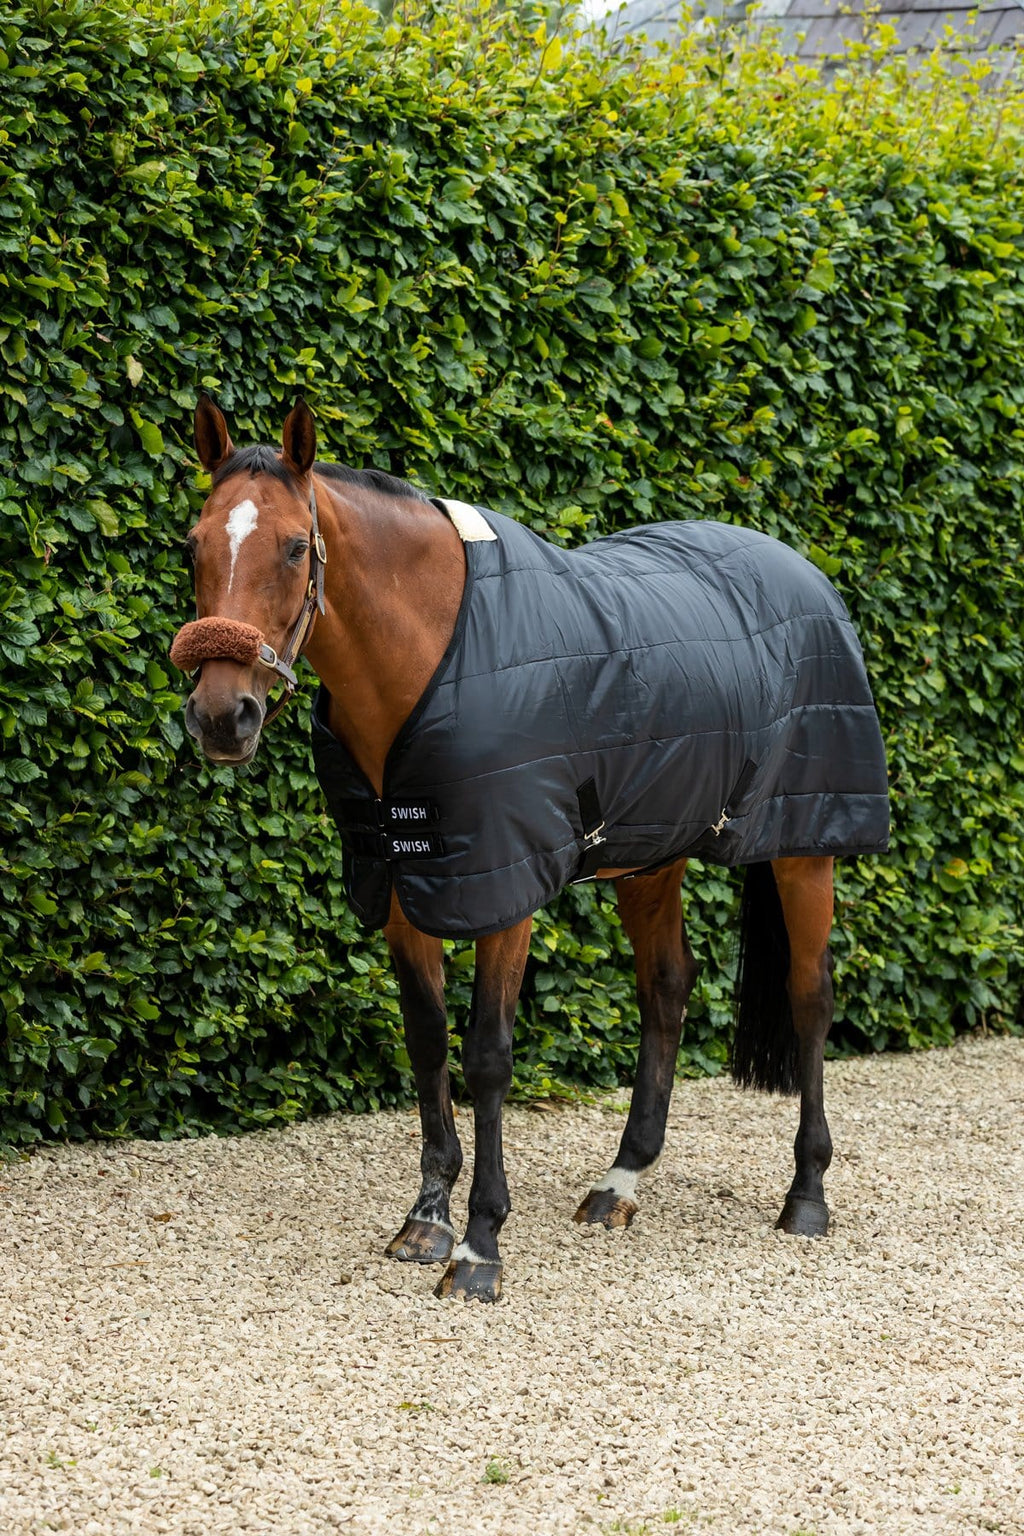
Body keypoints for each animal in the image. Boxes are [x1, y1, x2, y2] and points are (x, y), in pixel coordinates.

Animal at [170, 396, 889, 1303]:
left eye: (296, 546)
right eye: (193, 543)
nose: (221, 716)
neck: (433, 656)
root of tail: (803, 571)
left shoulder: (504, 891)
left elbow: (487, 1057)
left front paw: (480, 1248)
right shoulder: (407, 881)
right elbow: (426, 1041)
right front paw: (426, 1222)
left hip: (804, 848)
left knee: (808, 995)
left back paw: (806, 1196)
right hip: (648, 857)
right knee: (667, 987)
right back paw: (620, 1182)